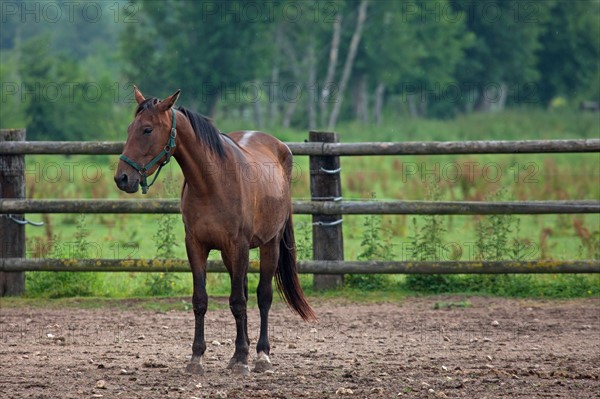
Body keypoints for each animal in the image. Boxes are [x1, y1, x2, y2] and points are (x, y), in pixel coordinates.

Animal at [114, 86, 316, 376]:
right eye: (131, 127)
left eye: (147, 129)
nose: (122, 178)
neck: (212, 182)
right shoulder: (197, 246)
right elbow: (201, 300)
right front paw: (197, 357)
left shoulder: (238, 245)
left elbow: (239, 301)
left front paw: (243, 358)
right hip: (229, 255)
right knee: (244, 292)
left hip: (270, 244)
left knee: (262, 296)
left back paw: (260, 354)